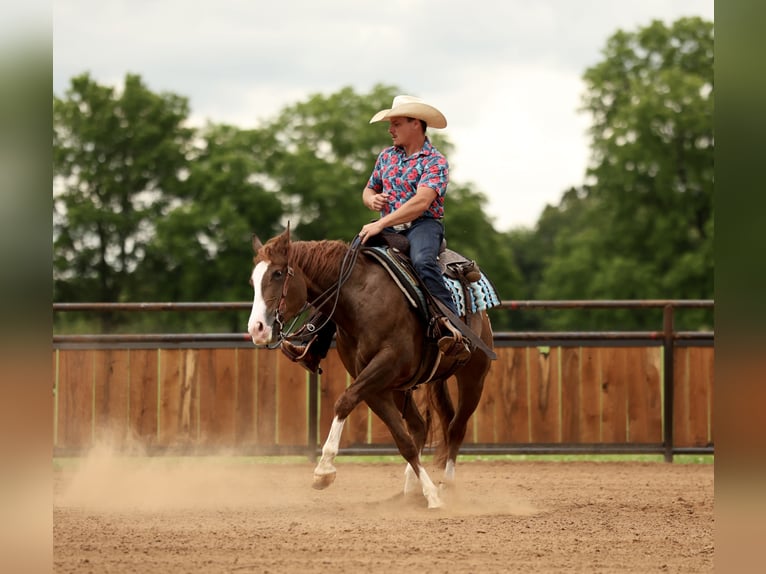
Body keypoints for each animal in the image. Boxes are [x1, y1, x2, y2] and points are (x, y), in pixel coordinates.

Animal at [247, 228, 495, 509]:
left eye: (278, 273)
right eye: (253, 281)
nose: (257, 328)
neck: (360, 300)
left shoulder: (385, 364)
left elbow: (344, 401)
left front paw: (323, 470)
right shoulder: (373, 382)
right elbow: (404, 441)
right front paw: (428, 492)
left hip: (473, 377)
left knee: (456, 428)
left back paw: (447, 486)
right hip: (401, 387)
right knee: (419, 427)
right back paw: (411, 490)